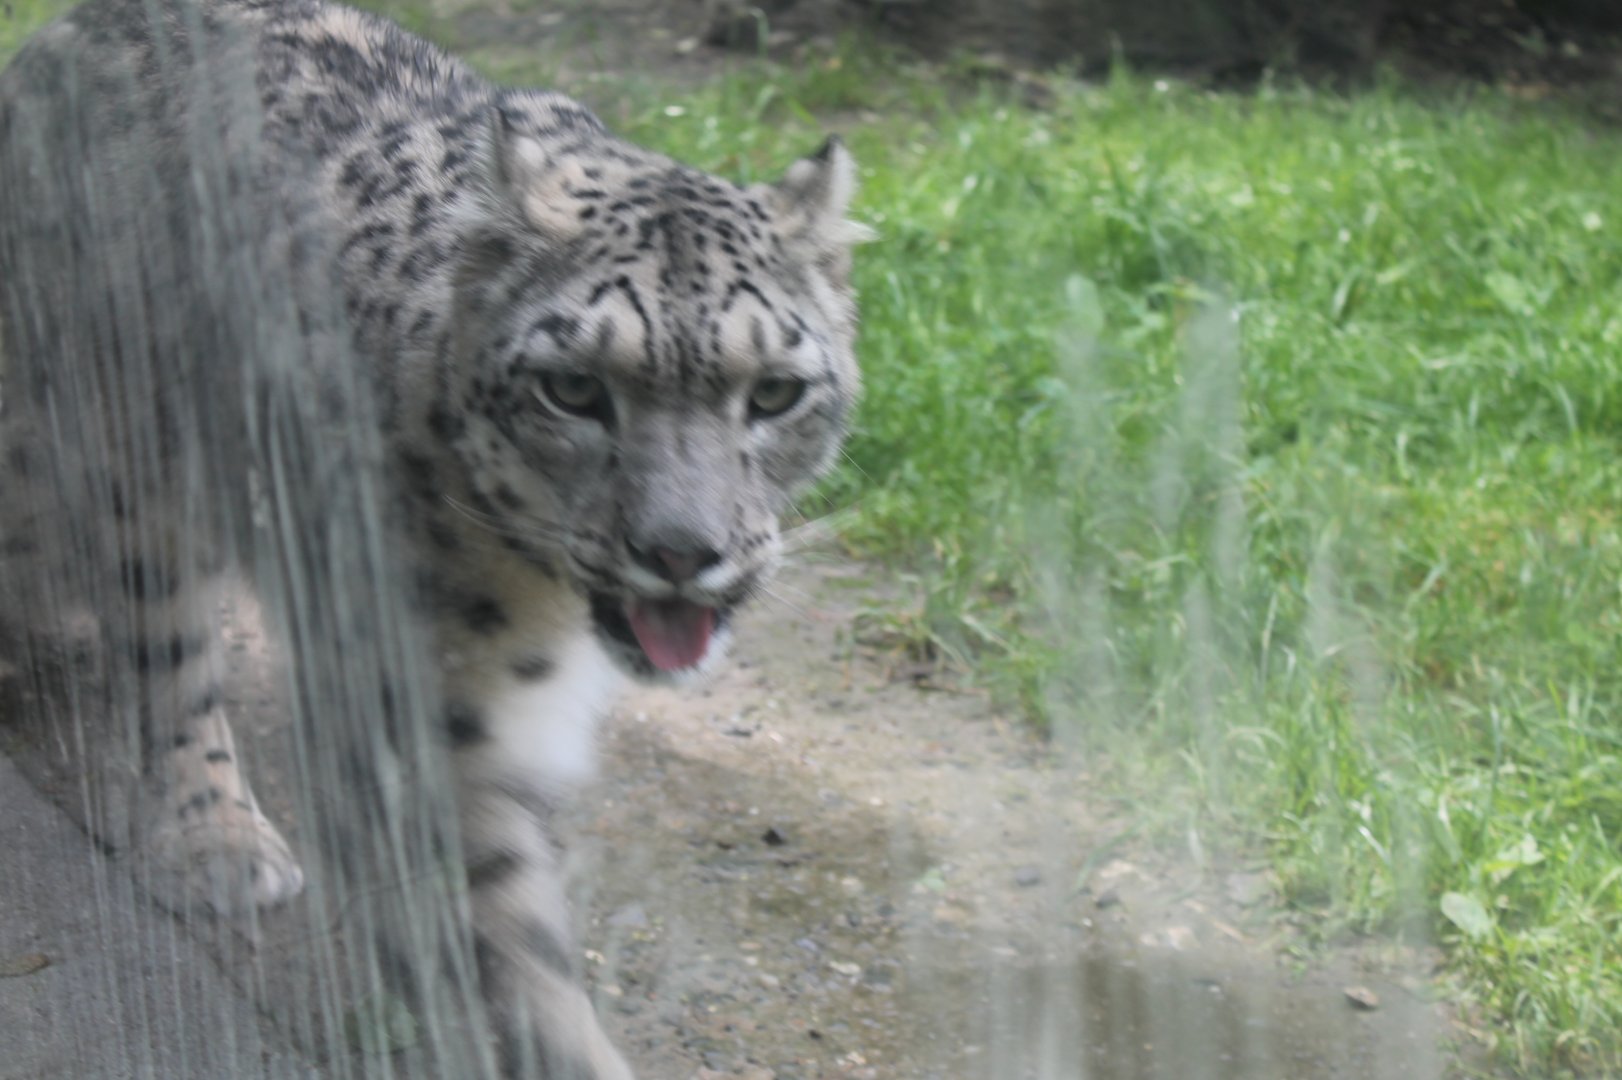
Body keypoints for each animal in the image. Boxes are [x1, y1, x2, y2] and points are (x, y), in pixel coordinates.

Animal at [0, 0, 864, 1074]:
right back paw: (220, 840)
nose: (681, 552)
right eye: (573, 389)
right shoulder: (417, 707)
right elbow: (511, 947)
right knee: (167, 650)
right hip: (126, 459)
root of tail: (57, 38)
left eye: (776, 391)